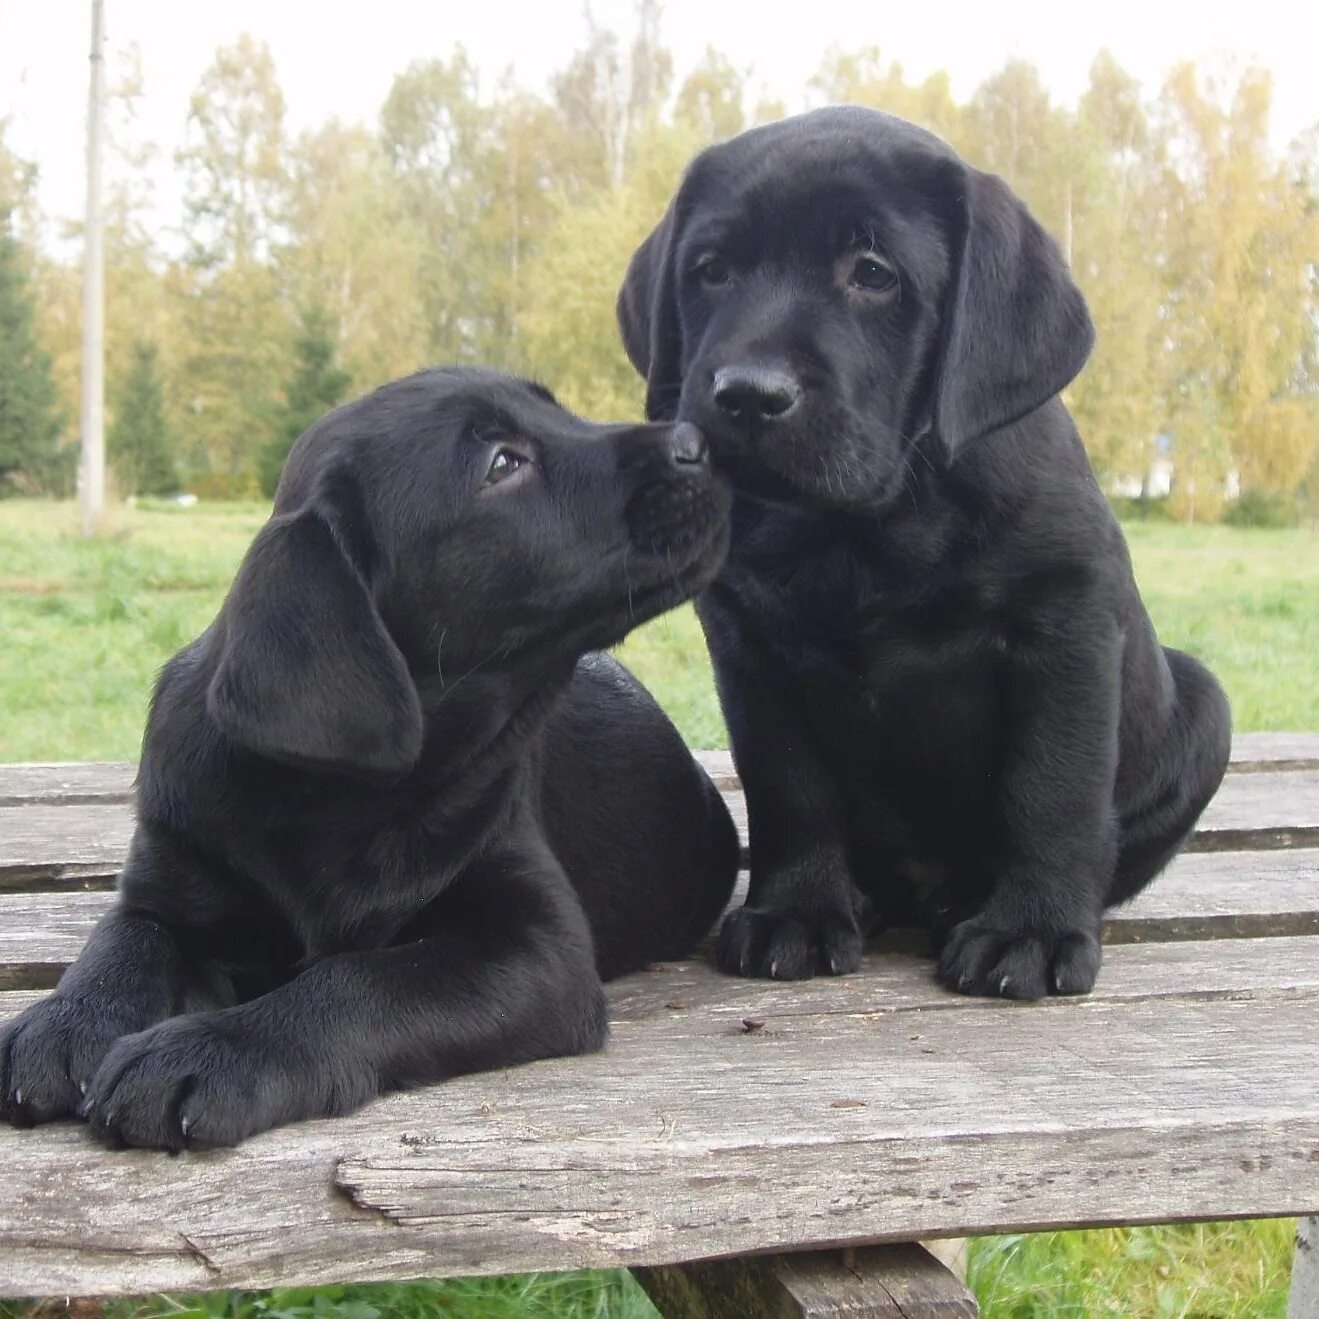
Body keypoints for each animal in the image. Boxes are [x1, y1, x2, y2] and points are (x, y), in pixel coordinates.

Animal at [0, 369, 743, 1144]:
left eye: (557, 410)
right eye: (502, 463)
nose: (698, 440)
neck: (335, 796)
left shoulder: (537, 945)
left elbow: (359, 978)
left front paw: (210, 1049)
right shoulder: (172, 873)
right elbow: (125, 941)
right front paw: (64, 1023)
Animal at [612, 108, 1229, 997]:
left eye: (873, 273)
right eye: (711, 270)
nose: (747, 393)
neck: (870, 524)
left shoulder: (1067, 623)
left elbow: (1051, 787)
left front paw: (1030, 927)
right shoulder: (751, 651)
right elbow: (790, 787)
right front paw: (797, 910)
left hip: (1204, 701)